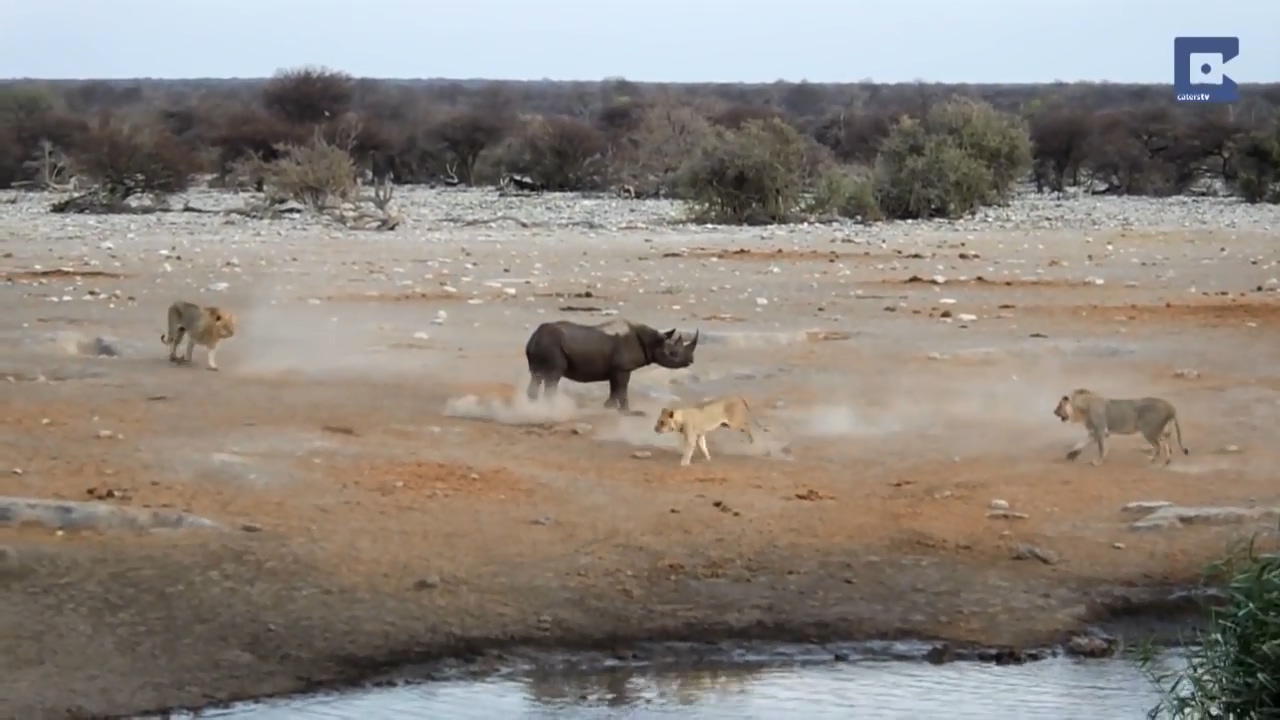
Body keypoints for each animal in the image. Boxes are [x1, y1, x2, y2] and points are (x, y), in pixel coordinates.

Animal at [525, 319, 699, 414]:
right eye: (672, 353)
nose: (691, 361)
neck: (651, 341)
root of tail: (534, 337)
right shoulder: (623, 368)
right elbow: (622, 389)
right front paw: (628, 412)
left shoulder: (616, 369)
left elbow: (614, 388)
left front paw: (608, 406)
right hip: (551, 345)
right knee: (554, 376)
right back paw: (552, 408)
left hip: (542, 345)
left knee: (536, 375)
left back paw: (534, 406)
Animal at [1053, 388, 1189, 466]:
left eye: (1059, 406)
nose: (1054, 412)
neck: (1082, 409)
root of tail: (1170, 407)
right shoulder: (1094, 432)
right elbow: (1081, 443)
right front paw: (1072, 454)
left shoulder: (1100, 431)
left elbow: (1101, 448)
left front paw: (1098, 462)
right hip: (1161, 430)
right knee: (1166, 442)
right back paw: (1167, 461)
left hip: (1149, 431)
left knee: (1158, 446)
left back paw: (1151, 459)